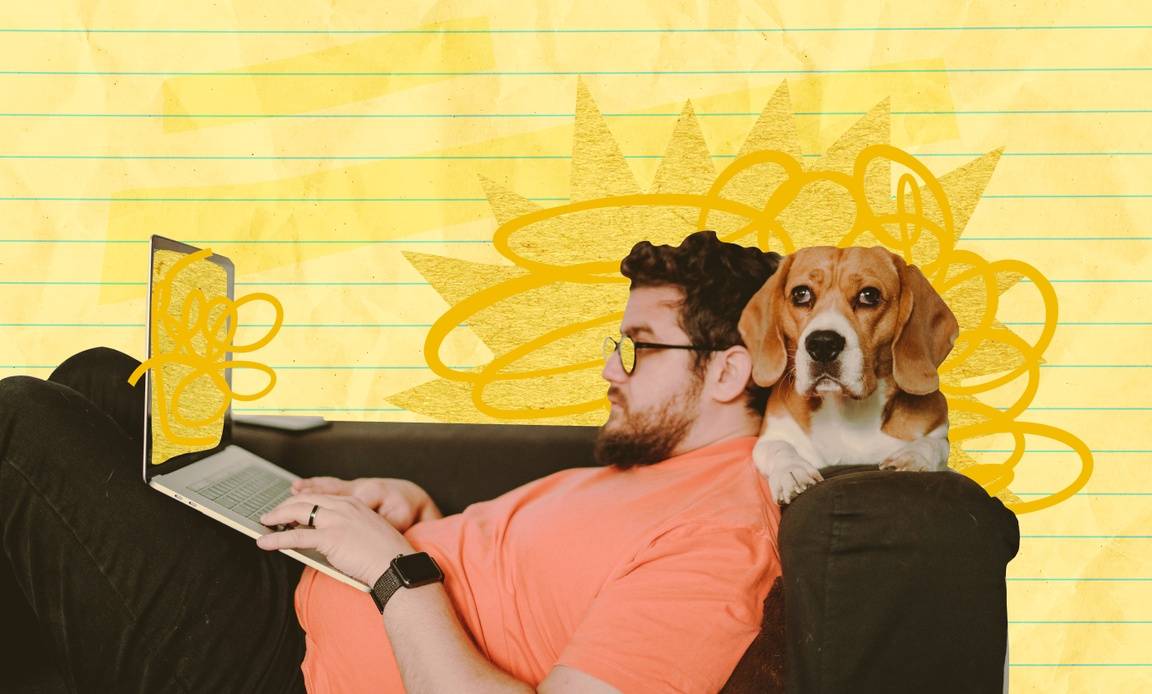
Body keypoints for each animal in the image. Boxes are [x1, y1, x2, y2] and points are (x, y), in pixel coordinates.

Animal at [737, 245, 963, 500]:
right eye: (800, 294)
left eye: (869, 295)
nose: (823, 344)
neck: (847, 412)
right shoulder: (774, 433)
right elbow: (776, 447)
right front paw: (792, 471)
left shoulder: (938, 432)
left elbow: (936, 445)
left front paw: (914, 456)